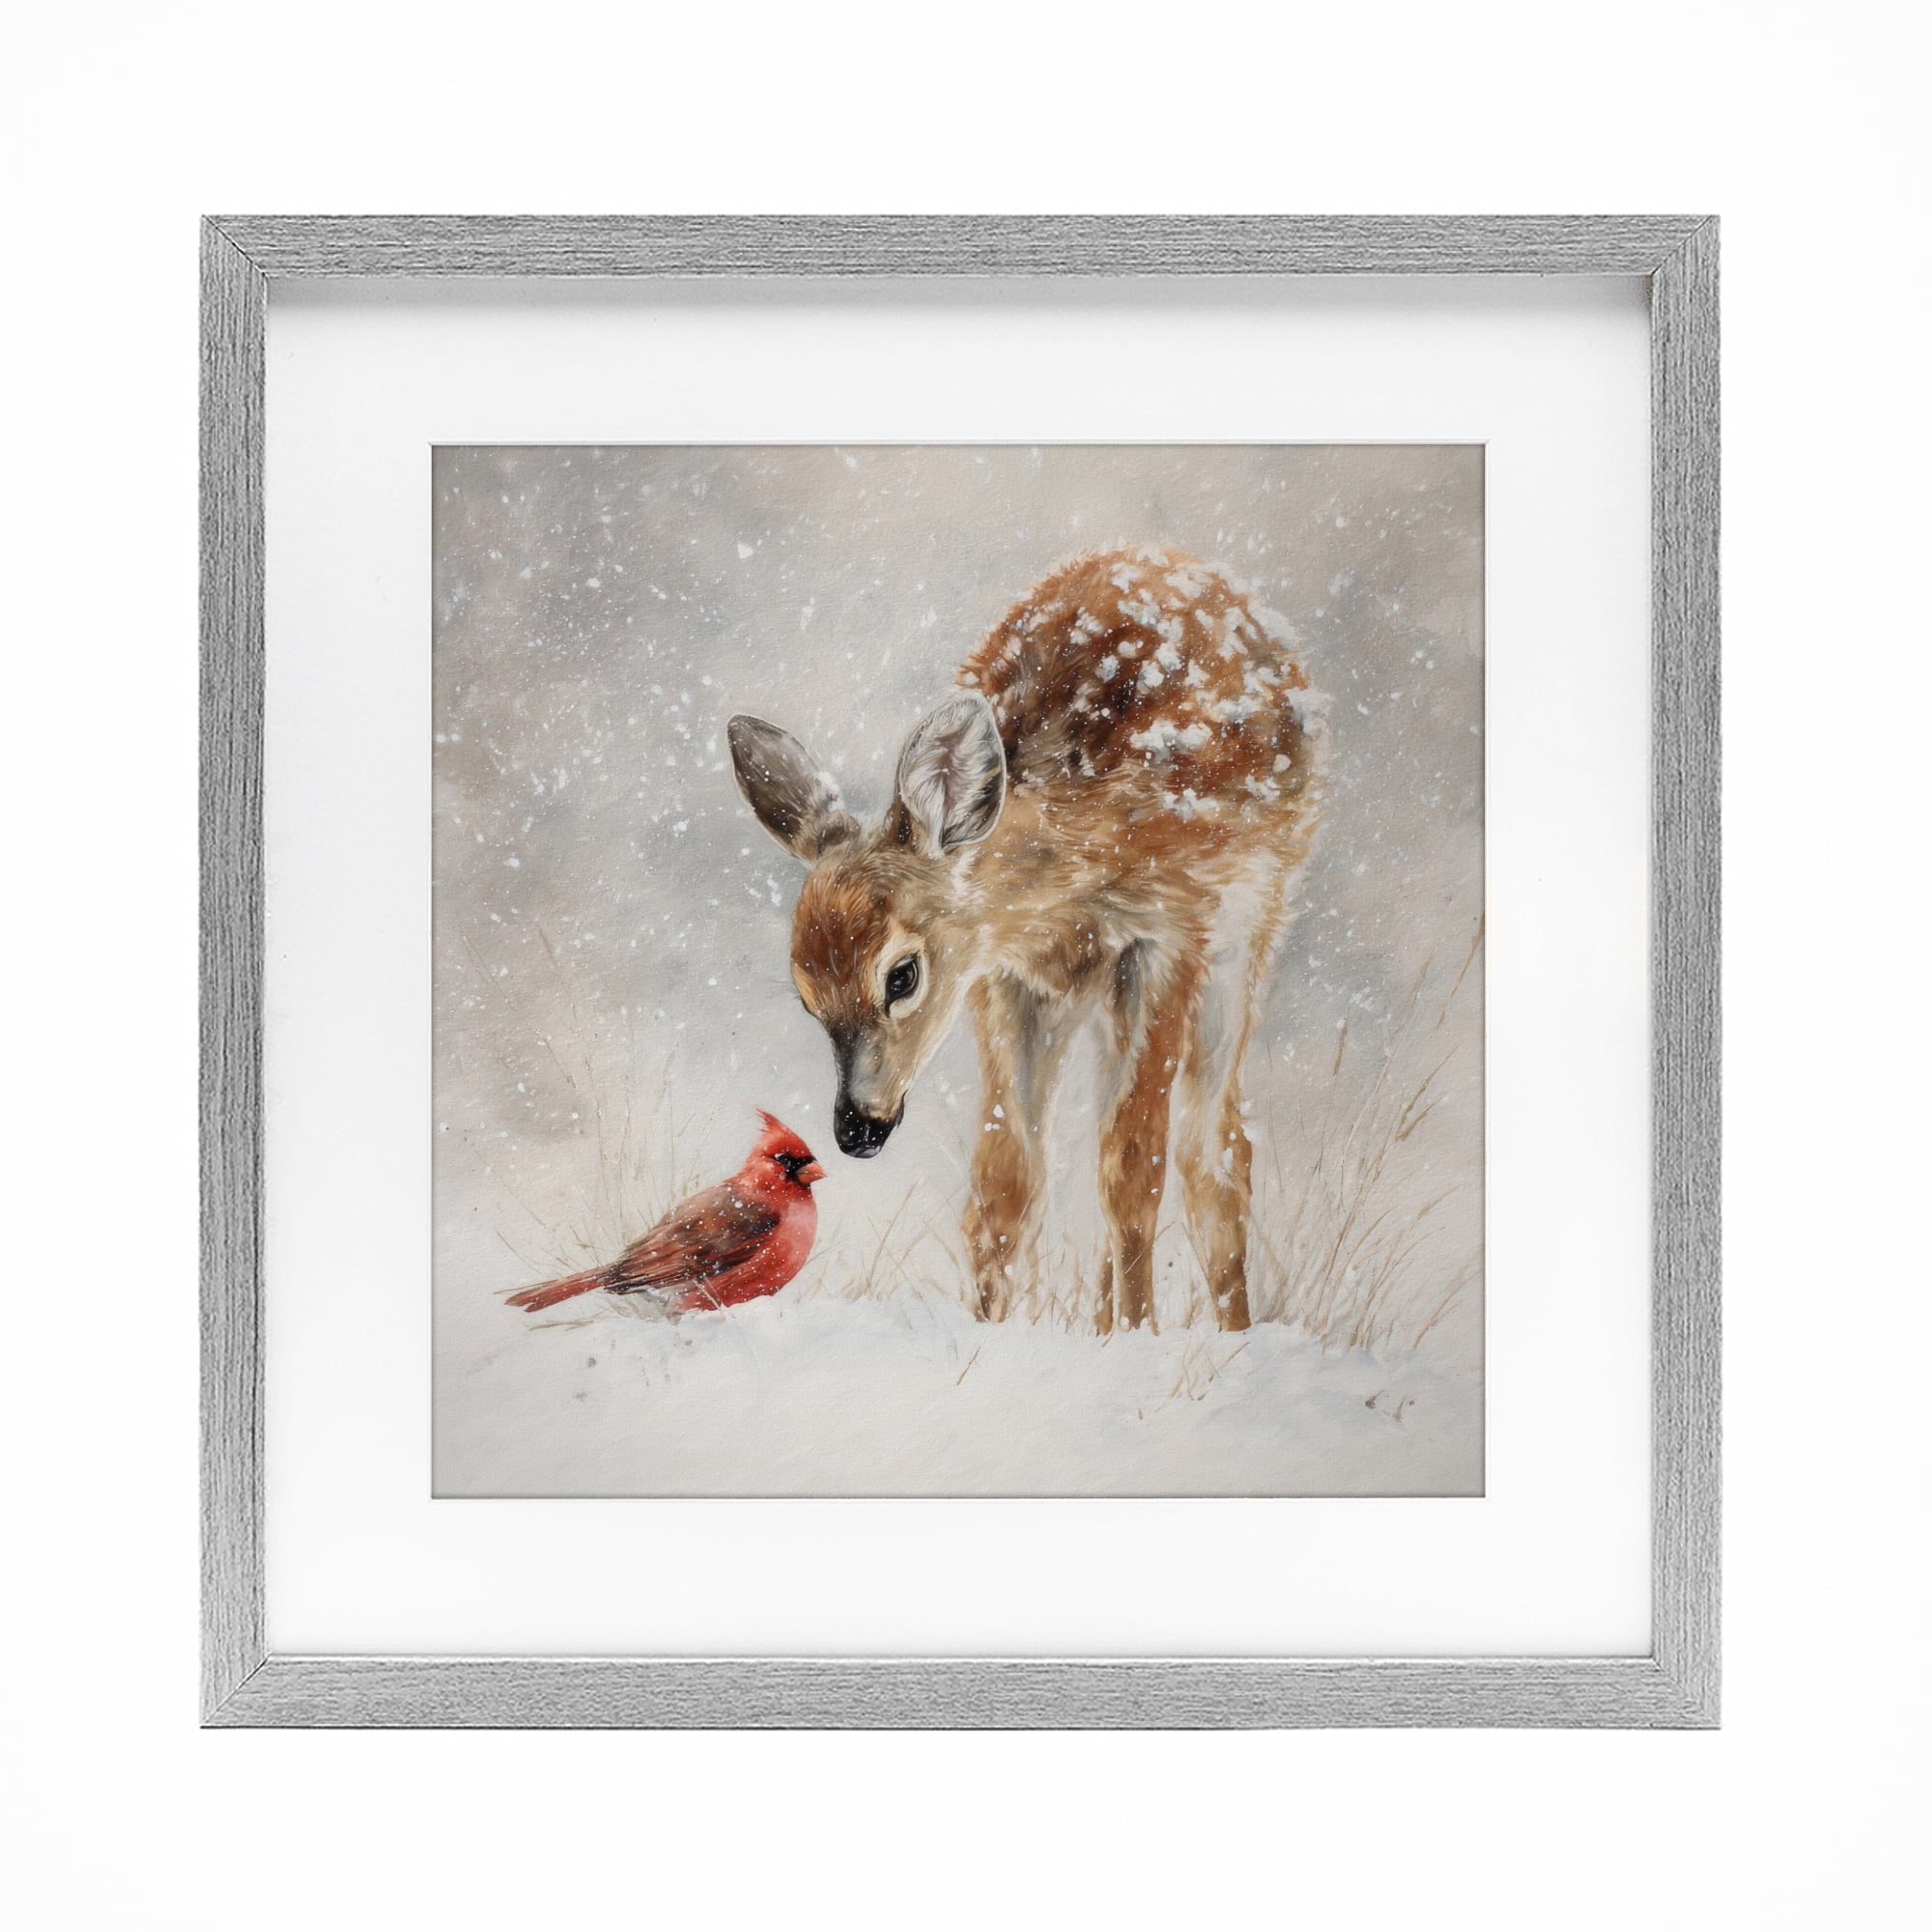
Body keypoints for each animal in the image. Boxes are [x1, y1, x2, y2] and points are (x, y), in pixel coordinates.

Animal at [728, 545, 1325, 1334]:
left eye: (902, 975)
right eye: (804, 997)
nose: (856, 1129)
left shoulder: (1170, 935)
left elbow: (1134, 1168)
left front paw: (1138, 1339)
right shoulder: (1004, 977)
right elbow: (1005, 1180)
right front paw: (995, 1332)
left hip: (1247, 932)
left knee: (1216, 1154)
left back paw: (1220, 1331)